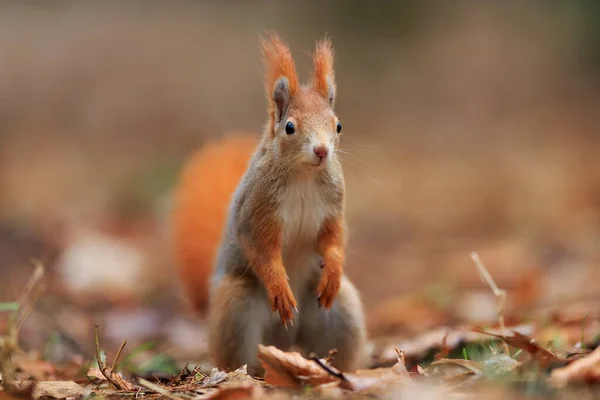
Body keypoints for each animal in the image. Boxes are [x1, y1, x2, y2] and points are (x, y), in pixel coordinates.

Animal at [170, 32, 366, 376]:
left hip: (341, 311)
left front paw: (333, 268)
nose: (321, 151)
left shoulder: (333, 207)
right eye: (289, 127)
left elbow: (334, 237)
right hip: (237, 307)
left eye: (338, 125)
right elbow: (262, 250)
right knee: (245, 356)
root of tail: (286, 342)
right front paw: (279, 288)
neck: (303, 175)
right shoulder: (256, 211)